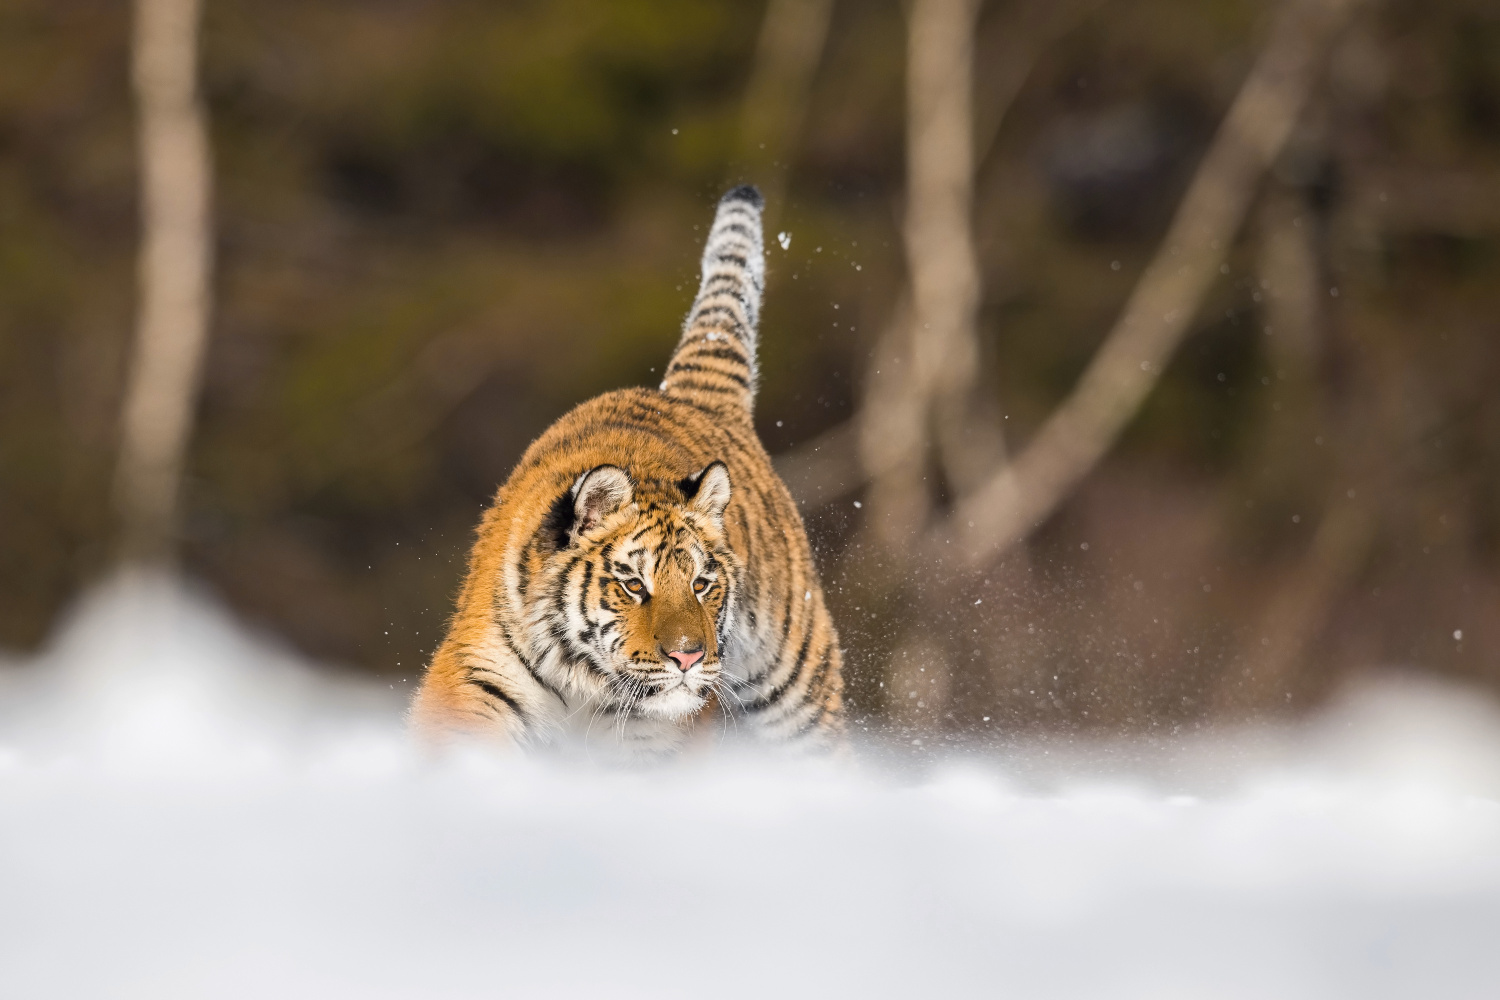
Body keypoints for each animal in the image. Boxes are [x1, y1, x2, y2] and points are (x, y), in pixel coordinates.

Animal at [411, 185, 852, 758]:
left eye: (702, 584)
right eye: (634, 586)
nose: (688, 658)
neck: (583, 680)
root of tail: (689, 399)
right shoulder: (475, 678)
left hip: (797, 693)